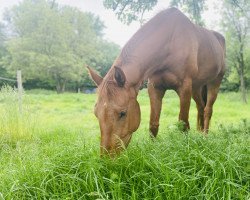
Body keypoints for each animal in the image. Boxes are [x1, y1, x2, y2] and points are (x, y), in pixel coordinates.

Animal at [87, 7, 226, 155]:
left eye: (122, 113)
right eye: (96, 113)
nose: (107, 157)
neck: (170, 41)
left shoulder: (184, 87)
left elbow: (183, 123)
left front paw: (186, 150)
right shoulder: (155, 88)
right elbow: (153, 124)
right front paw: (153, 150)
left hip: (214, 82)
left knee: (207, 110)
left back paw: (205, 137)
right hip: (196, 87)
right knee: (200, 107)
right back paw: (199, 134)